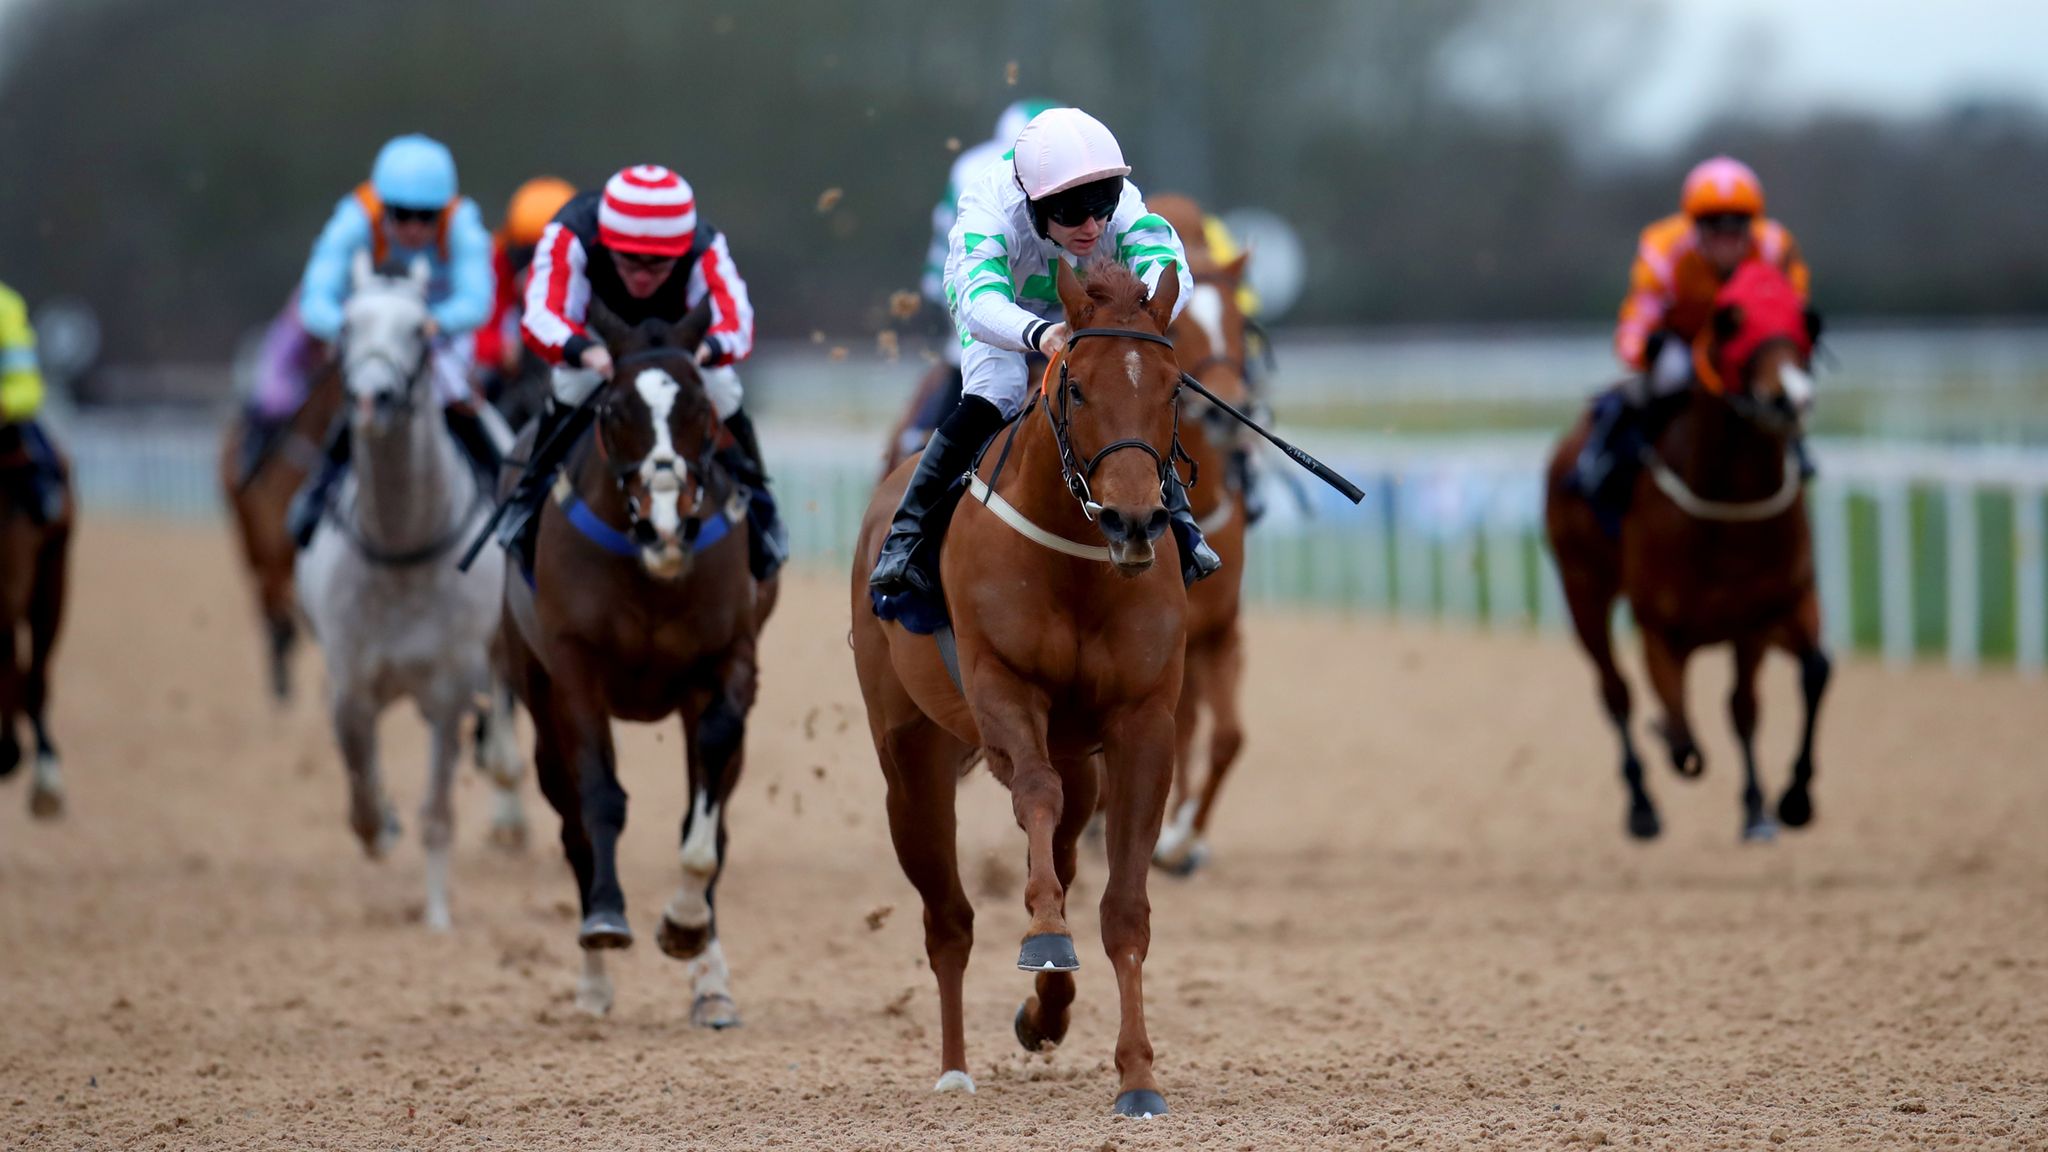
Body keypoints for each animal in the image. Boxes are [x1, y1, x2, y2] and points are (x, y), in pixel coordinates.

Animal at [294, 255, 524, 926]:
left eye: (421, 330)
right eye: (347, 324)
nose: (374, 397)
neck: (402, 545)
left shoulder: (450, 686)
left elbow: (438, 810)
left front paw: (438, 916)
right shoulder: (351, 681)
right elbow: (361, 787)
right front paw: (381, 827)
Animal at [499, 295, 778, 1020]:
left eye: (701, 411)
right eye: (613, 410)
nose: (665, 523)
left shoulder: (729, 659)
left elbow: (708, 801)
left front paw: (687, 927)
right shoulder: (575, 669)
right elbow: (600, 797)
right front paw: (605, 922)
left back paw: (710, 984)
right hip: (534, 690)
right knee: (570, 819)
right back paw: (593, 983)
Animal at [856, 258, 1196, 1115]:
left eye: (1173, 387)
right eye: (1075, 385)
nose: (1133, 521)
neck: (1077, 561)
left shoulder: (1144, 722)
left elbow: (1124, 909)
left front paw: (1138, 1075)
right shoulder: (1001, 687)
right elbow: (1033, 794)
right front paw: (1042, 932)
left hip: (1080, 757)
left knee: (1067, 855)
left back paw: (1046, 1012)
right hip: (910, 760)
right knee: (947, 917)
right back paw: (954, 1069)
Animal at [1540, 255, 1835, 840]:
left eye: (1805, 322)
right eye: (1731, 324)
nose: (1790, 398)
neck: (1726, 514)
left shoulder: (1765, 611)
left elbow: (1775, 691)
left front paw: (1777, 803)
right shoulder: (1662, 629)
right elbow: (1681, 732)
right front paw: (1673, 746)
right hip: (1583, 590)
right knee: (1615, 691)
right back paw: (1641, 803)